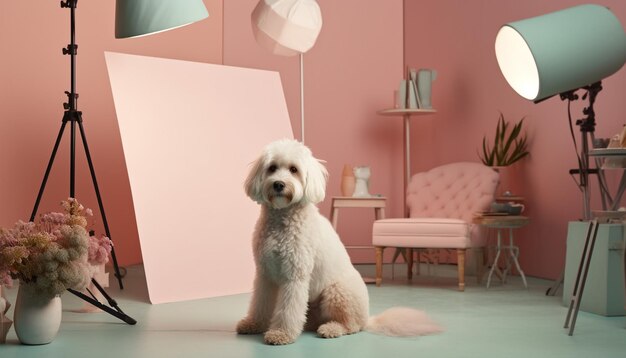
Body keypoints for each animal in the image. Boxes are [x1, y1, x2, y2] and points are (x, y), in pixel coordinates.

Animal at [236, 139, 442, 344]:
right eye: (272, 168)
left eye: (293, 169)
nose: (278, 184)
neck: (281, 219)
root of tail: (368, 318)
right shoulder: (265, 274)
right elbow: (260, 303)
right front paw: (254, 324)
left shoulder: (294, 276)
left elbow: (288, 309)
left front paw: (281, 333)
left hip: (336, 292)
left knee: (351, 326)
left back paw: (331, 329)